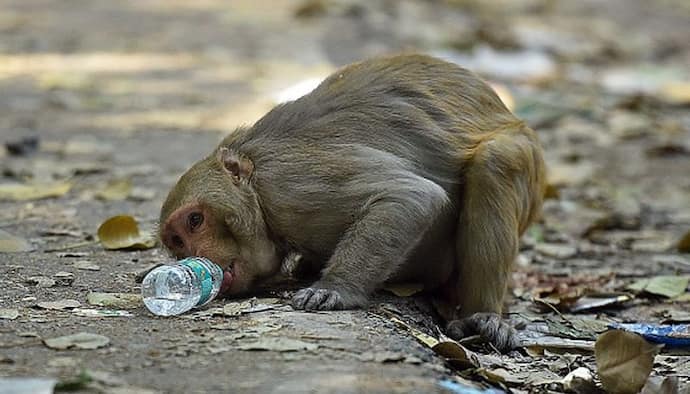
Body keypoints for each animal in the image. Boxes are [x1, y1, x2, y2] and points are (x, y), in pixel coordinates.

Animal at [159, 53, 544, 350]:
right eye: (177, 241)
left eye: (195, 221)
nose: (197, 256)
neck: (257, 191)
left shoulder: (292, 185)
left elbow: (411, 196)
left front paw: (336, 288)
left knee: (496, 161)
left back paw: (485, 317)